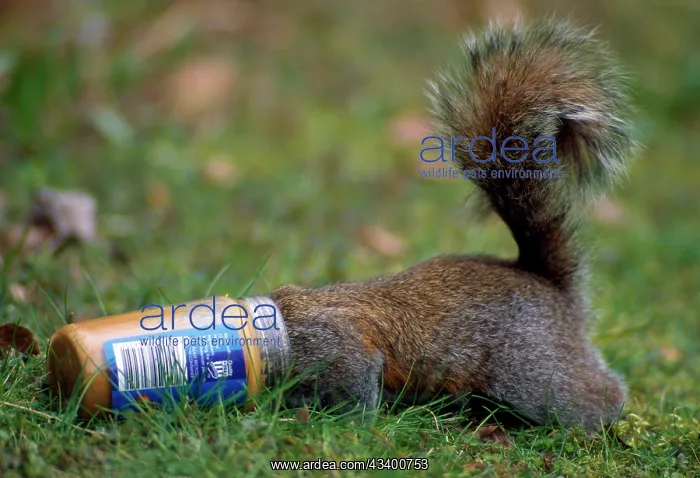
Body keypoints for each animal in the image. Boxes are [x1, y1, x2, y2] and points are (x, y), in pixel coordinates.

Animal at [268, 18, 637, 429]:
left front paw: (337, 422)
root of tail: (550, 285)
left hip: (533, 373)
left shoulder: (333, 348)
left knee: (592, 394)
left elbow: (358, 391)